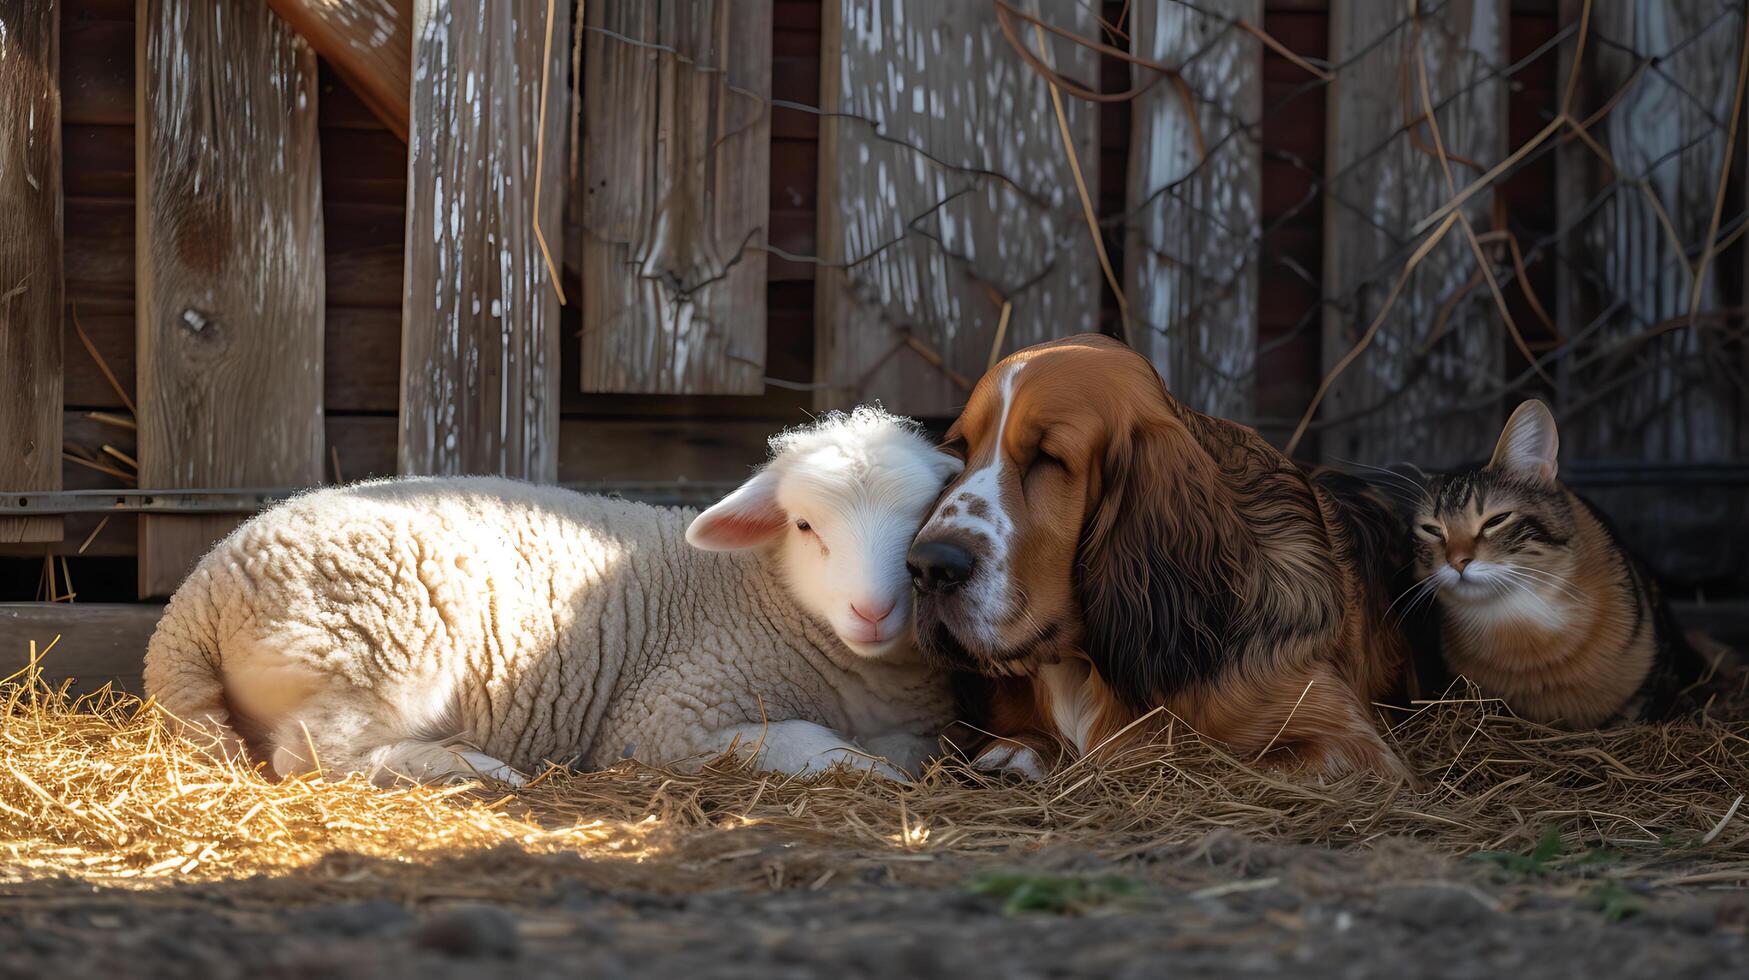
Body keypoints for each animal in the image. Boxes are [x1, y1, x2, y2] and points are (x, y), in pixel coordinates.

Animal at [138, 409, 965, 784]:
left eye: (923, 518)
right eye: (804, 525)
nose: (871, 611)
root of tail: (195, 601)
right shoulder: (662, 717)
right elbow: (801, 742)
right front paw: (868, 772)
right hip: (377, 647)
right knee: (317, 757)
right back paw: (472, 769)